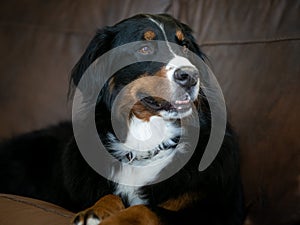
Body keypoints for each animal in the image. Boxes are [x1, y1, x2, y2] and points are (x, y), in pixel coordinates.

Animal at [0, 14, 246, 225]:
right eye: (144, 48)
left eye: (184, 46)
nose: (191, 76)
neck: (145, 144)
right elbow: (110, 196)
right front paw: (93, 212)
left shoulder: (215, 210)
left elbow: (143, 209)